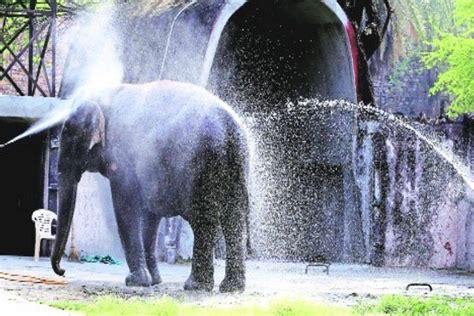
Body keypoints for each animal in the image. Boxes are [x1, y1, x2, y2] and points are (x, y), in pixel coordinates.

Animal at [51, 80, 252, 292]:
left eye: (67, 135)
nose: (63, 271)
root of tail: (229, 128)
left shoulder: (122, 159)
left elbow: (125, 208)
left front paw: (135, 282)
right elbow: (150, 216)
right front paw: (154, 281)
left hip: (200, 164)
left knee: (203, 220)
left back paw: (195, 286)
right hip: (238, 164)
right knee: (234, 220)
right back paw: (231, 287)